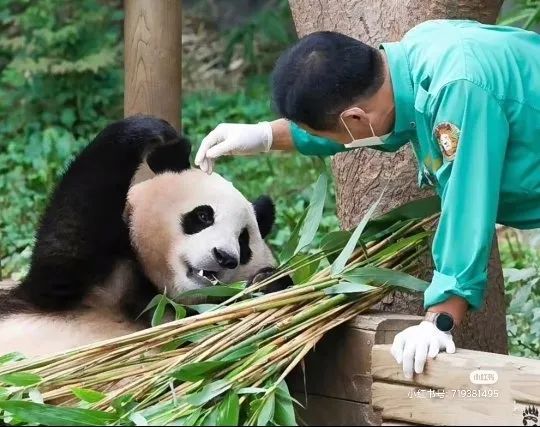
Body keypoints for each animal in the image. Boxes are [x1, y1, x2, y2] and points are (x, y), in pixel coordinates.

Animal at [0, 115, 292, 360]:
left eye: (243, 241)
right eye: (203, 216)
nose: (225, 257)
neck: (157, 292)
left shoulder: (184, 321)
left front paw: (268, 282)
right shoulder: (87, 284)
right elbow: (64, 250)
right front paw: (161, 134)